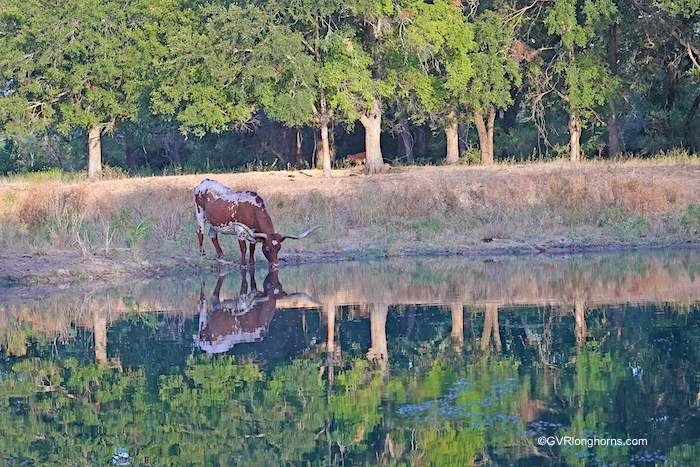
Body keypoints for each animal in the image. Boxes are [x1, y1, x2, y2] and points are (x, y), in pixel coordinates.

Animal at [193, 178, 322, 268]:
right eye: (268, 249)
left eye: (279, 248)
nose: (275, 264)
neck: (253, 209)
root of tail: (206, 181)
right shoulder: (241, 231)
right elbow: (243, 248)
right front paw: (243, 264)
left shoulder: (254, 232)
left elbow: (252, 248)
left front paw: (252, 263)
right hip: (200, 214)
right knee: (200, 232)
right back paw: (202, 254)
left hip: (214, 221)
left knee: (212, 234)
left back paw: (221, 255)